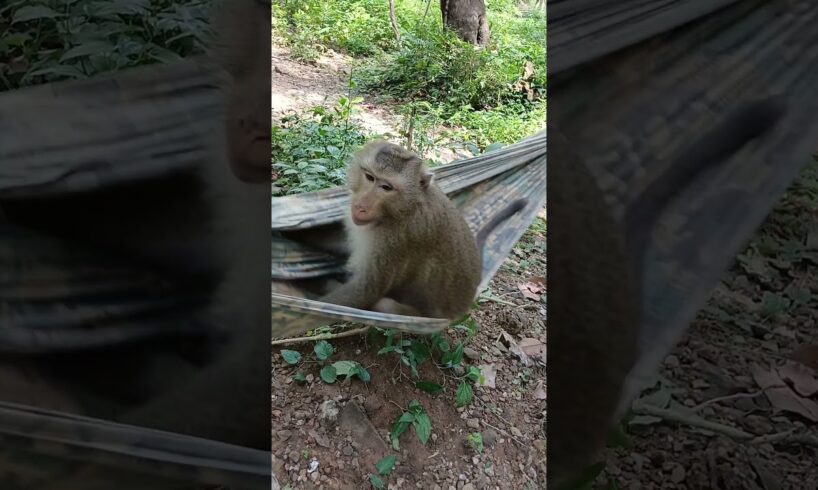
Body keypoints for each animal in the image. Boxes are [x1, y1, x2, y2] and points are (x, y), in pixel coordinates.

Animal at [316, 140, 524, 320]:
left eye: (386, 187)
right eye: (369, 177)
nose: (361, 206)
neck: (403, 208)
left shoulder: (398, 238)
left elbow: (365, 290)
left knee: (384, 304)